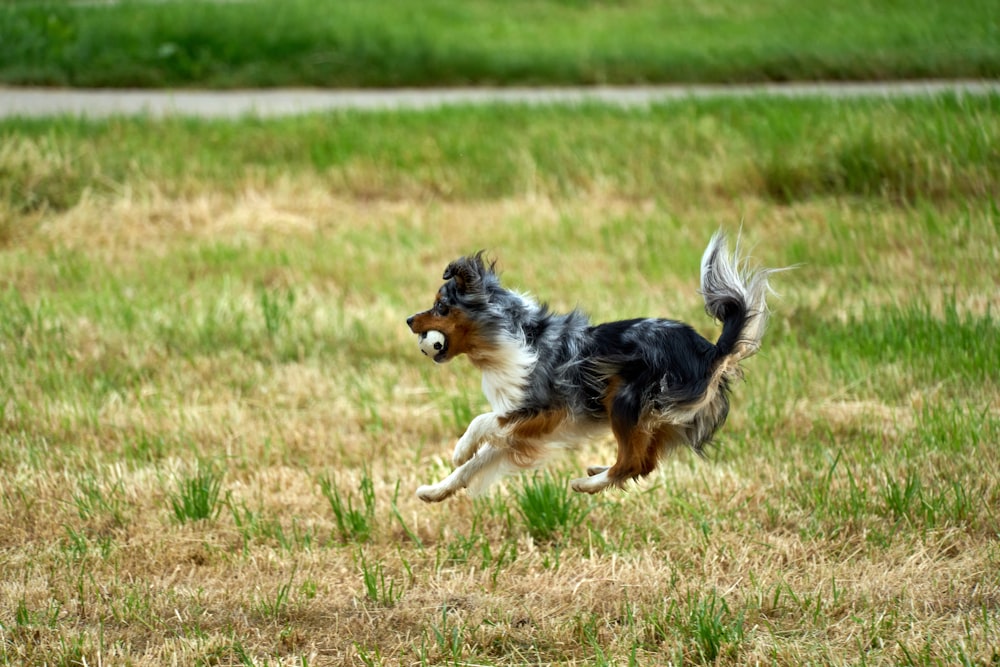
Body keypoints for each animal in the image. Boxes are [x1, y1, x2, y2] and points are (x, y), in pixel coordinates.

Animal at [404, 232, 772, 504]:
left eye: (440, 306)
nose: (408, 320)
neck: (512, 338)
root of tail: (711, 352)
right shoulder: (523, 427)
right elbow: (475, 463)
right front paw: (435, 491)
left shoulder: (545, 411)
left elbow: (482, 422)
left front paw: (460, 448)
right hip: (651, 417)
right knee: (644, 463)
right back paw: (598, 473)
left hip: (624, 399)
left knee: (632, 461)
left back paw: (587, 483)